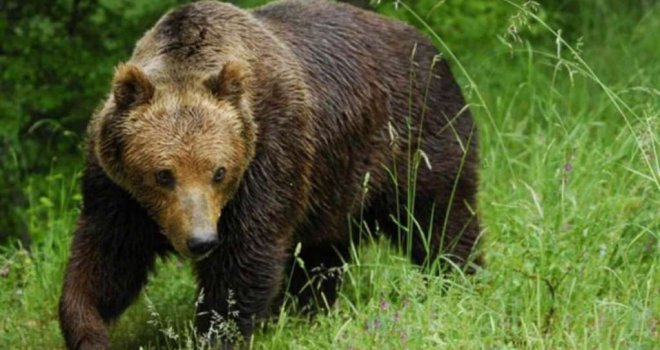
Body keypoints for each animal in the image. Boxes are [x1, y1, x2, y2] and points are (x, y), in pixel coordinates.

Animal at [58, 0, 480, 348]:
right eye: (163, 174)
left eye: (219, 172)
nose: (201, 240)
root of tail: (430, 47)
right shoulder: (119, 191)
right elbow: (107, 260)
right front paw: (88, 329)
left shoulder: (268, 154)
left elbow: (245, 258)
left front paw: (216, 332)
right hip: (333, 184)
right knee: (322, 252)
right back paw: (313, 309)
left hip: (414, 137)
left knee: (439, 216)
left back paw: (457, 279)